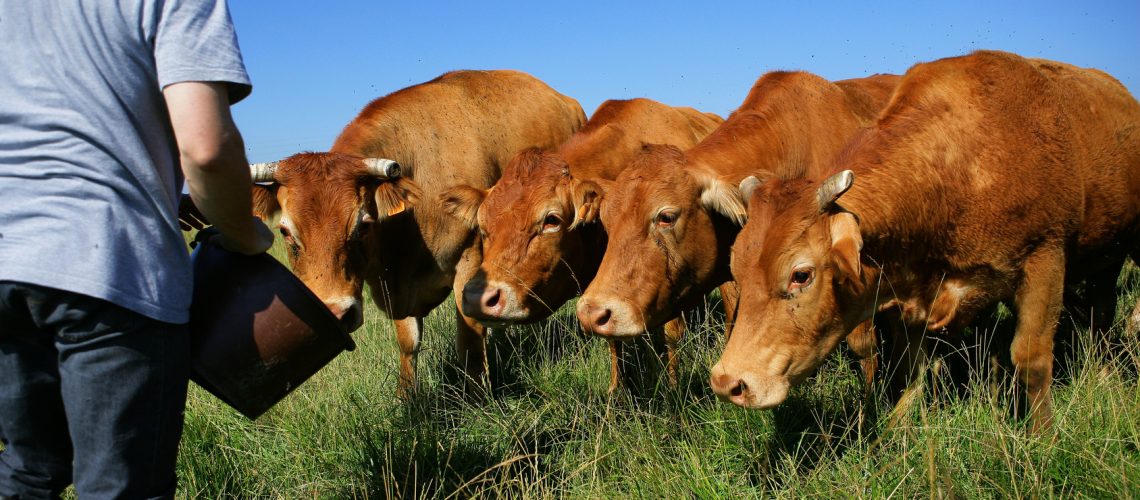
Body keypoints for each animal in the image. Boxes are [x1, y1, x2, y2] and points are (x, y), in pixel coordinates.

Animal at [249, 70, 586, 396]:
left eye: (363, 224)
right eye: (285, 231)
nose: (336, 313)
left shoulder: (470, 261)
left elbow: (468, 335)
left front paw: (477, 393)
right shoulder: (394, 288)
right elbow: (408, 342)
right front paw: (407, 396)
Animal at [438, 98, 723, 390]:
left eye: (551, 220)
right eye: (483, 227)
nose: (477, 298)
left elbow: (670, 334)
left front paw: (672, 387)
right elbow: (611, 338)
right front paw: (616, 392)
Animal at [710, 50, 1140, 433]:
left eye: (801, 275)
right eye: (737, 270)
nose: (729, 382)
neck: (962, 164)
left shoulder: (1044, 260)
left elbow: (1031, 360)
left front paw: (1042, 439)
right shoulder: (912, 298)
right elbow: (910, 368)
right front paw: (895, 433)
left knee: (1103, 315)